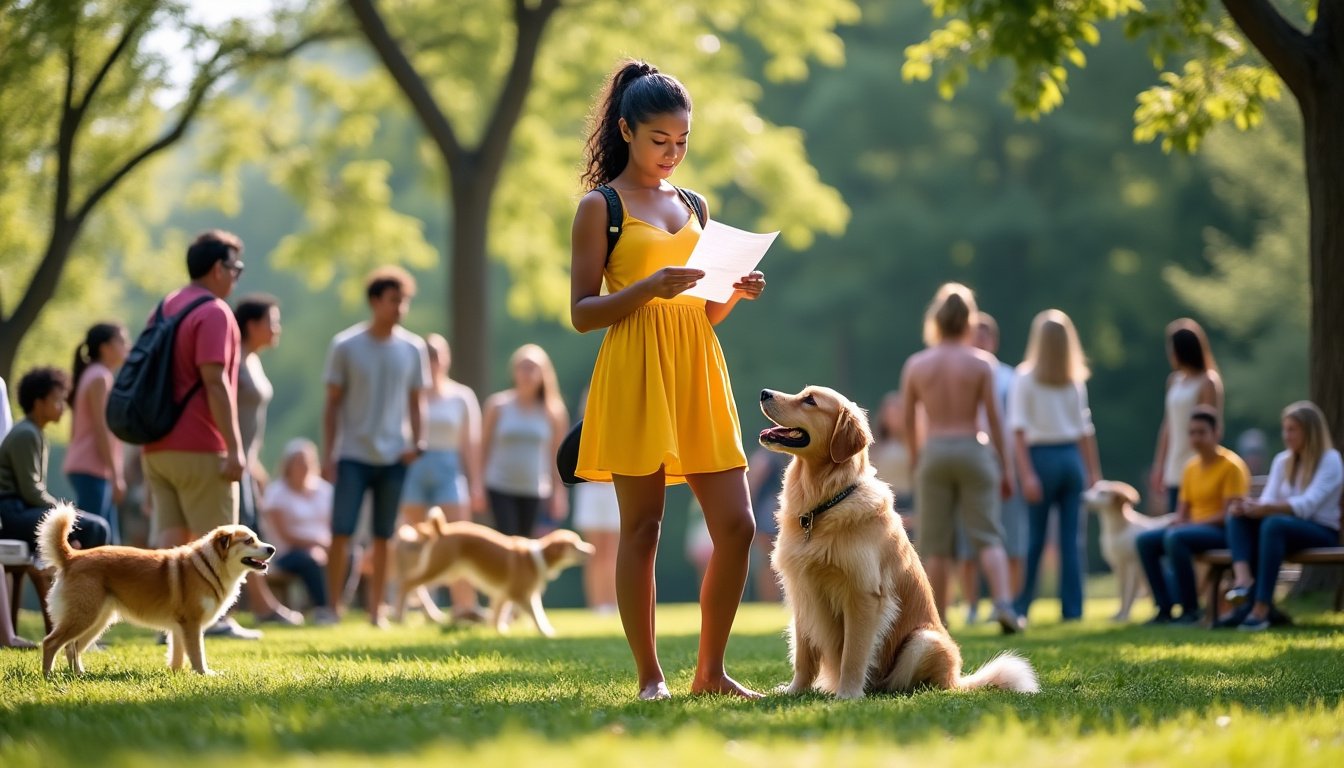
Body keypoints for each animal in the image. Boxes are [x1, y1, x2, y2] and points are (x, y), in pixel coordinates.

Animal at [37, 505, 272, 677]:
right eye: (249, 540)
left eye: (257, 537)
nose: (272, 549)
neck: (209, 566)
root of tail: (72, 557)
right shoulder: (192, 624)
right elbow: (197, 654)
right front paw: (204, 674)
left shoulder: (178, 628)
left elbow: (178, 656)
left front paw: (176, 675)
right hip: (84, 617)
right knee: (51, 643)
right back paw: (48, 676)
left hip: (96, 621)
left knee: (72, 646)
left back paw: (78, 674)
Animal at [392, 511, 596, 637]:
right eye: (575, 545)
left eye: (579, 541)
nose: (592, 550)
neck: (536, 558)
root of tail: (442, 530)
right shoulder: (520, 595)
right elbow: (537, 615)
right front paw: (546, 632)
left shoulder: (503, 595)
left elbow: (498, 615)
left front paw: (498, 630)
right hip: (439, 569)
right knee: (406, 583)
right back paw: (399, 616)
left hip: (446, 571)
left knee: (414, 586)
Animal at [758, 387, 1037, 699]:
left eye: (810, 400)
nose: (765, 393)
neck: (823, 504)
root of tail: (957, 679)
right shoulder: (803, 591)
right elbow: (803, 657)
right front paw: (795, 690)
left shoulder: (864, 594)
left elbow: (853, 655)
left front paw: (848, 695)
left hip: (923, 640)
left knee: (904, 683)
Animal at [1075, 484, 1171, 621]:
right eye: (1093, 488)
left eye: (1102, 492)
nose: (1082, 497)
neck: (1121, 529)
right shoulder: (1119, 565)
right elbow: (1122, 592)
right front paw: (1120, 614)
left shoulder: (1135, 565)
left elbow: (1130, 593)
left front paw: (1124, 616)